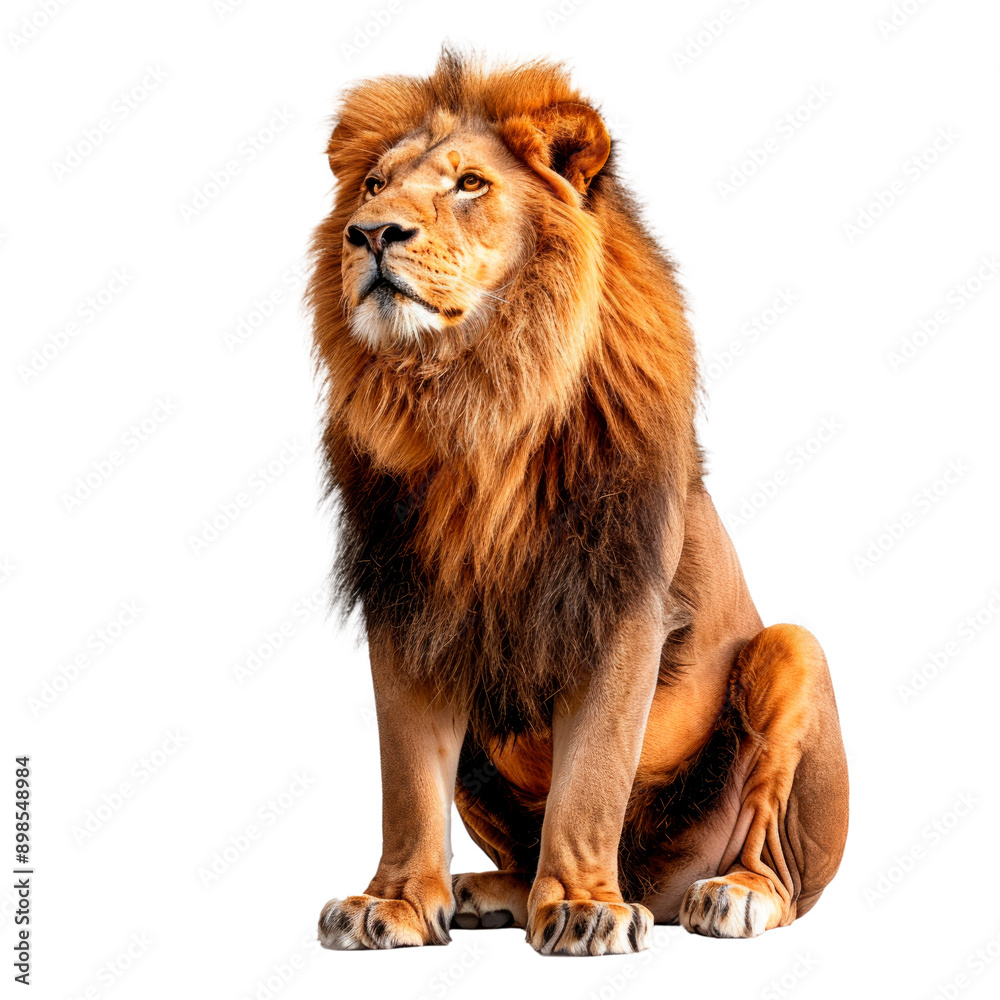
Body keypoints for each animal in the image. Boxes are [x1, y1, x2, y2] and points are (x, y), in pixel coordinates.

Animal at [308, 49, 848, 956]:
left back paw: (729, 895)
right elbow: (407, 781)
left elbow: (591, 773)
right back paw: (490, 891)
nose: (372, 233)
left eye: (469, 184)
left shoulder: (621, 598)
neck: (477, 399)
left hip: (794, 654)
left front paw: (587, 907)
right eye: (374, 185)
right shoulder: (407, 603)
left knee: (779, 866)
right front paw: (396, 903)